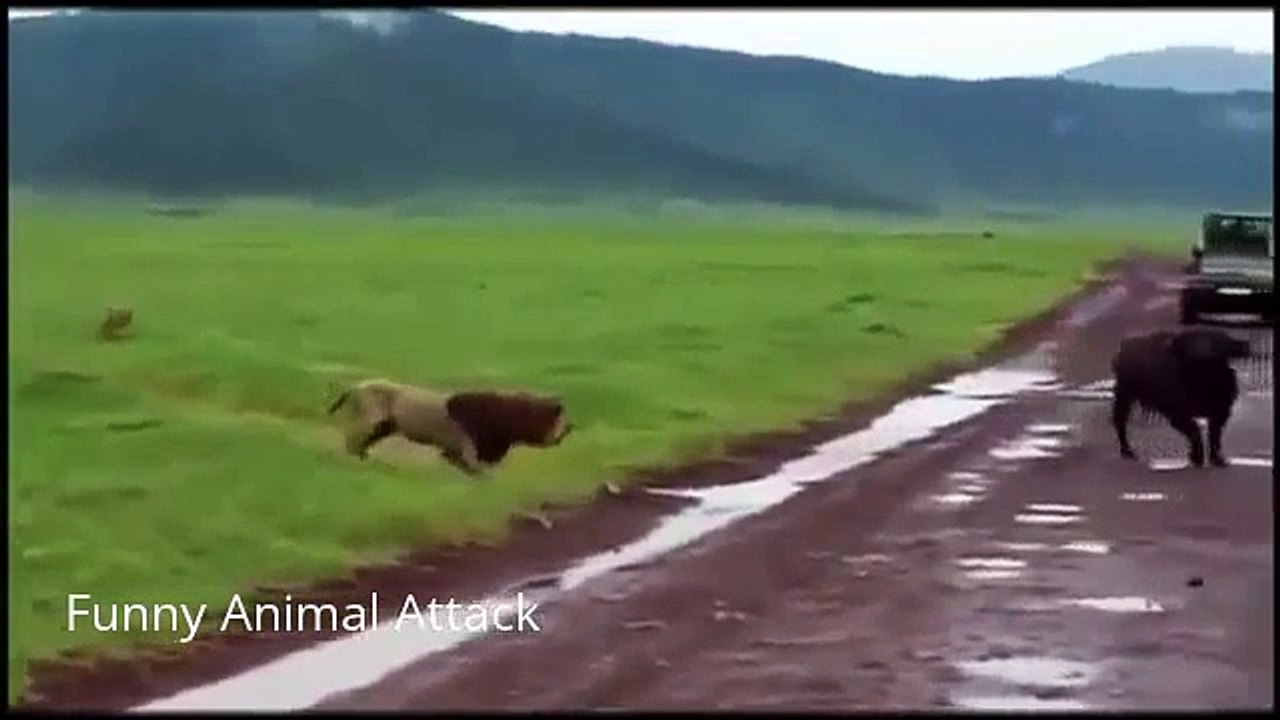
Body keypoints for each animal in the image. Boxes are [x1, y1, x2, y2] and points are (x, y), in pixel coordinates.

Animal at [326, 378, 573, 476]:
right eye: (557, 420)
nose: (567, 430)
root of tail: (355, 387)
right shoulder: (470, 449)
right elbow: (478, 472)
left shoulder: (462, 451)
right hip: (371, 421)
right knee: (352, 441)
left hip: (384, 427)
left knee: (359, 445)